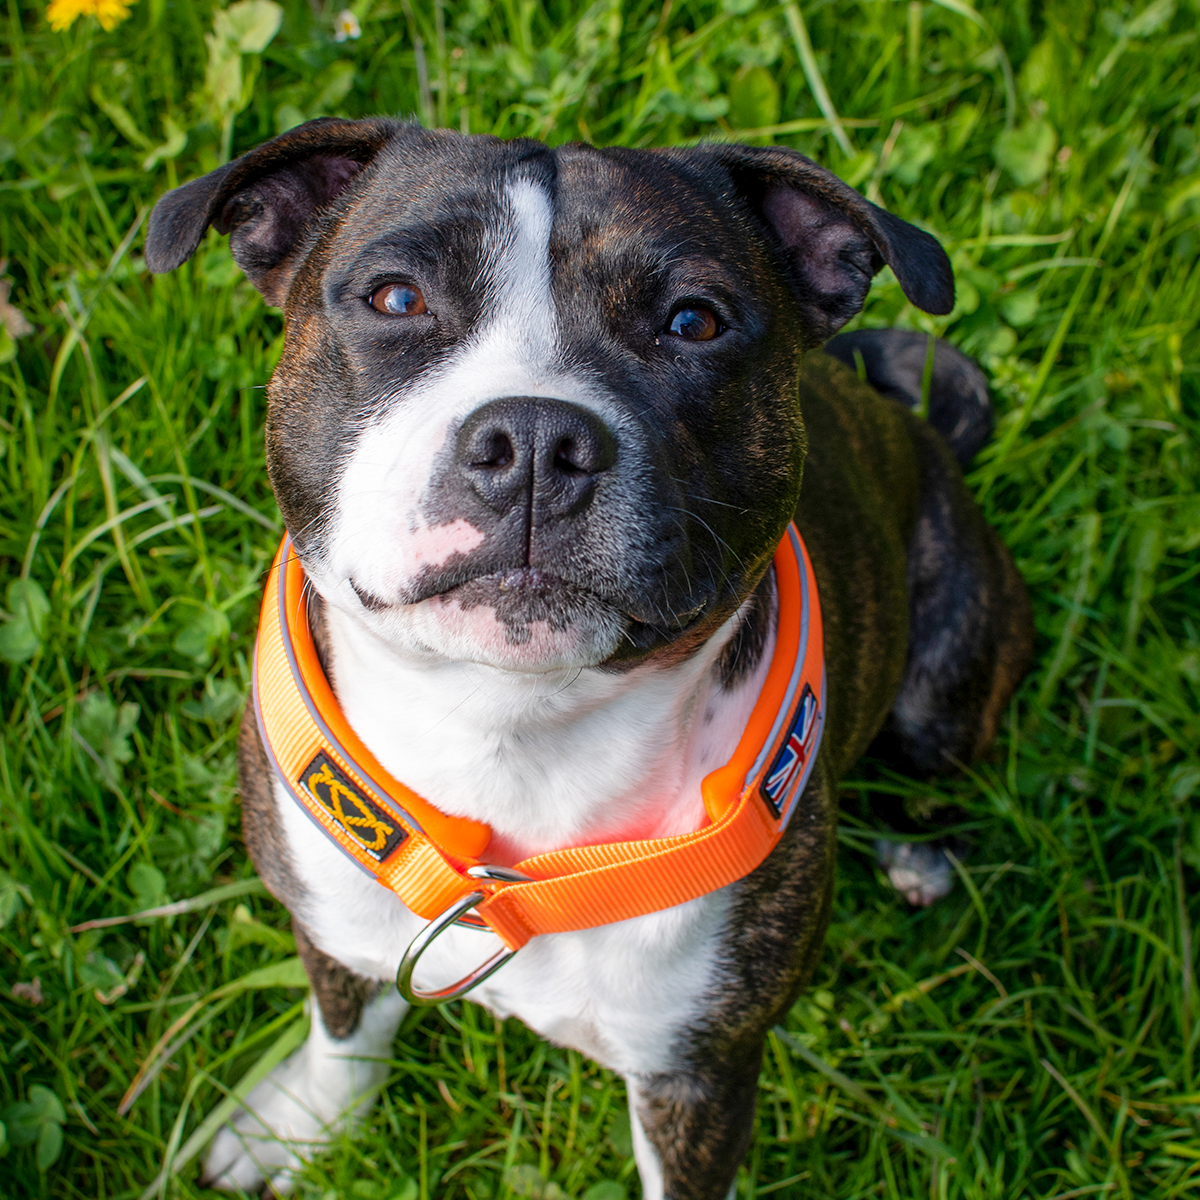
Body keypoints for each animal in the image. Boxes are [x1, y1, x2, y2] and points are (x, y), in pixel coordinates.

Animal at [147, 119, 1032, 1200]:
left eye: (694, 321)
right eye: (396, 297)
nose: (534, 437)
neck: (509, 735)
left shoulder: (699, 1070)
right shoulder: (334, 921)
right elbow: (345, 1028)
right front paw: (306, 1124)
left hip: (943, 687)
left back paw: (920, 857)